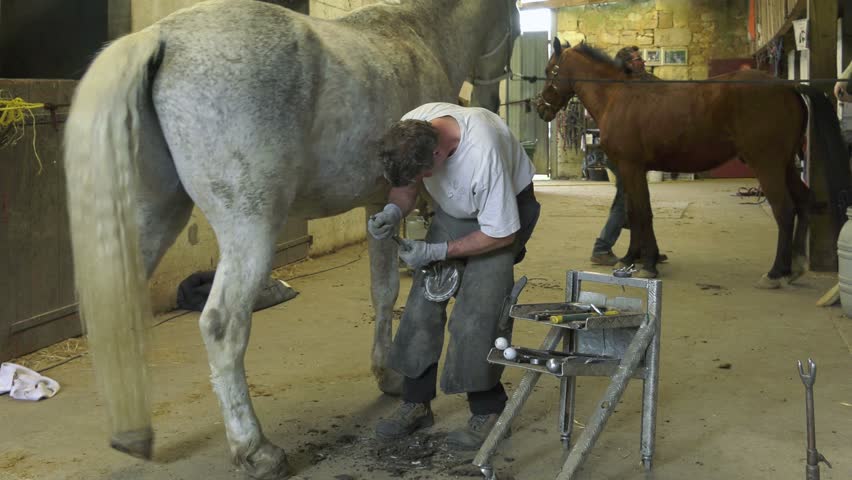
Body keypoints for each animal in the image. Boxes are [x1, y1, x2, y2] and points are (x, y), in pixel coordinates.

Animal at [63, 0, 516, 478]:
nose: (490, 103)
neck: (417, 34)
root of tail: (160, 37)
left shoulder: (379, 205)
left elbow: (381, 290)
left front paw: (387, 374)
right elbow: (395, 288)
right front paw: (393, 376)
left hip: (152, 221)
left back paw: (131, 436)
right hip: (251, 227)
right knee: (222, 325)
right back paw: (256, 451)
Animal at [536, 39, 848, 286]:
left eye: (550, 70)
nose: (540, 108)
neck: (618, 95)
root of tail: (788, 86)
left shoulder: (632, 168)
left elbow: (643, 213)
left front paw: (648, 264)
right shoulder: (630, 171)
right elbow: (634, 213)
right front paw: (632, 258)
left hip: (767, 165)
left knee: (785, 210)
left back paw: (775, 273)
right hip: (785, 166)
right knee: (804, 202)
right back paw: (794, 266)